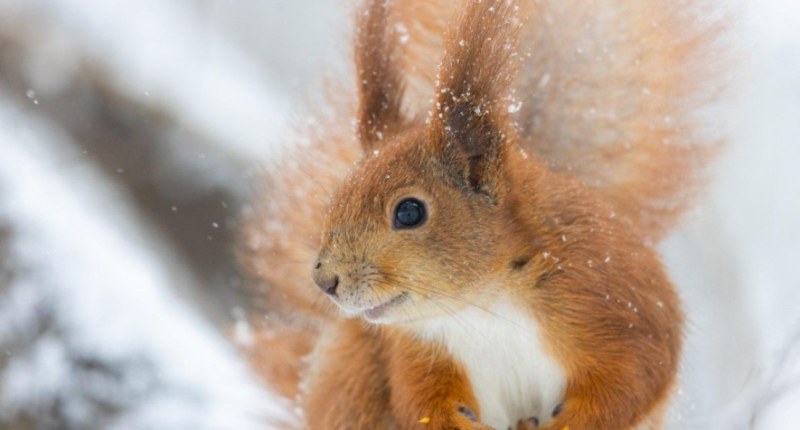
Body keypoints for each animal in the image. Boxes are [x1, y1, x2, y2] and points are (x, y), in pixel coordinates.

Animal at [241, 0, 720, 428]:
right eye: (337, 196)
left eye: (409, 212)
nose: (325, 280)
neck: (484, 303)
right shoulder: (419, 351)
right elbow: (421, 402)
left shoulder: (611, 303)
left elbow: (633, 379)